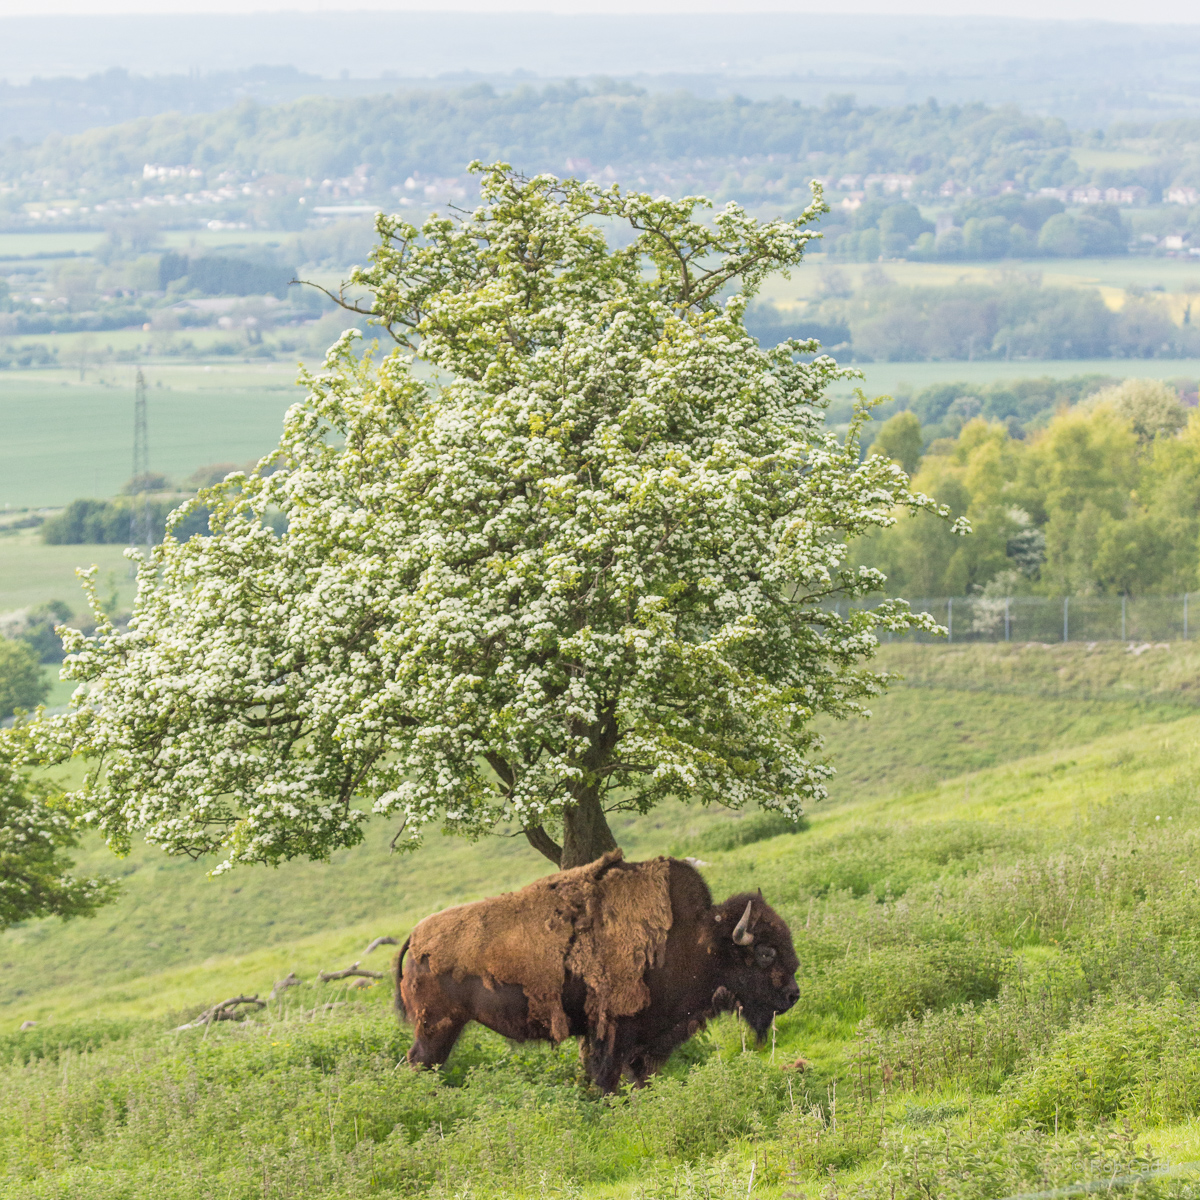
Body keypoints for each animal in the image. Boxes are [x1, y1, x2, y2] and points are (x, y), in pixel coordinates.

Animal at [395, 848, 800, 1092]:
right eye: (766, 953)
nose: (793, 995)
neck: (699, 939)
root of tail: (414, 938)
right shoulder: (615, 1030)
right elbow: (606, 1076)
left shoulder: (644, 1039)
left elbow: (639, 1074)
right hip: (436, 1027)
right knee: (420, 1063)